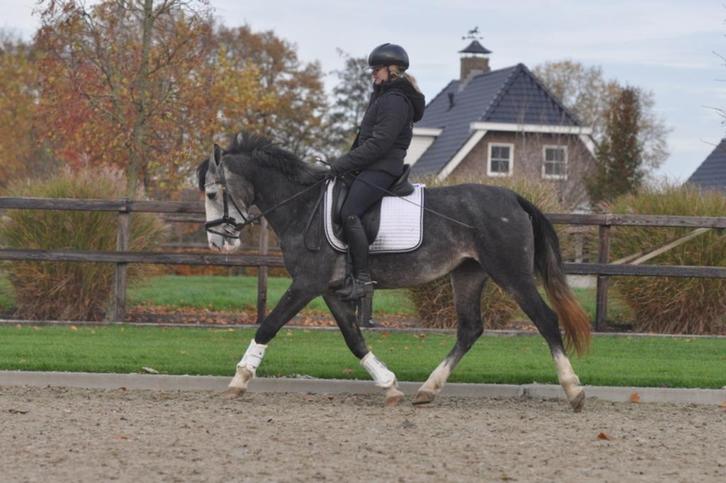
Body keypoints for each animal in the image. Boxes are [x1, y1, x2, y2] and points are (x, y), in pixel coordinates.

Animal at [197, 132, 591, 411]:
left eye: (213, 193)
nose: (216, 242)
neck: (302, 205)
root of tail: (514, 198)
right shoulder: (330, 289)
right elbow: (354, 339)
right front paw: (388, 385)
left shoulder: (307, 283)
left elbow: (269, 325)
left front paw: (239, 380)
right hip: (468, 274)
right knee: (470, 329)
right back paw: (428, 390)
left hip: (511, 274)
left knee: (545, 319)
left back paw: (573, 389)